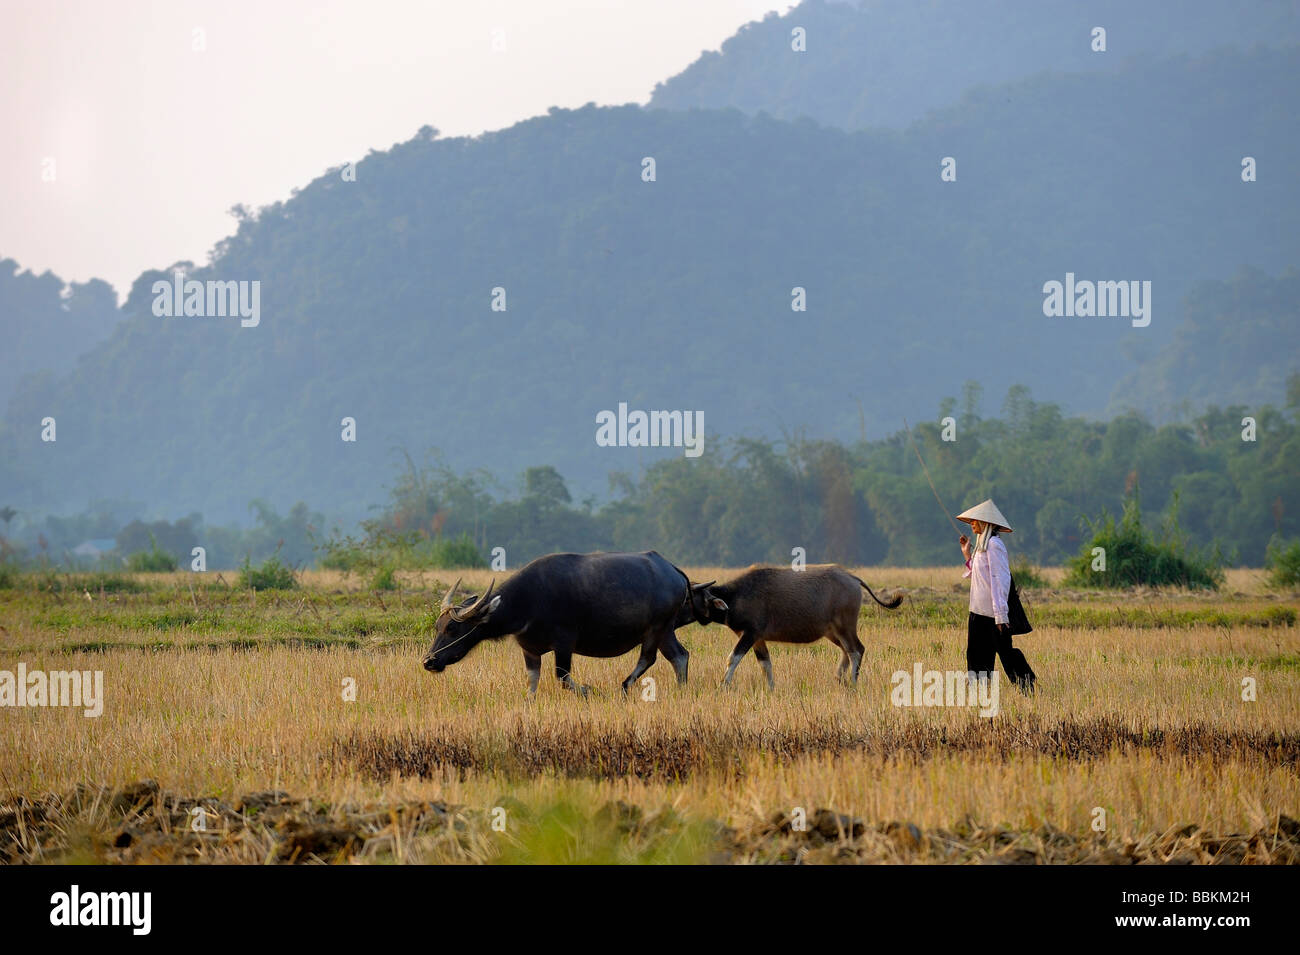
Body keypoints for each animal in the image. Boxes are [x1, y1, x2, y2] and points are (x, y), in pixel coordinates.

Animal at [421, 553, 707, 696]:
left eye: (453, 629)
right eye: (437, 627)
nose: (429, 661)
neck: (529, 600)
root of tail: (671, 570)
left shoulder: (564, 643)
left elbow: (562, 677)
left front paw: (590, 691)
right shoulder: (530, 650)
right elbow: (532, 682)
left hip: (656, 628)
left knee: (648, 658)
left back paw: (625, 686)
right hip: (666, 629)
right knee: (679, 656)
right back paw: (681, 690)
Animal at [681, 563, 904, 691]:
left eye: (689, 598)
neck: (737, 595)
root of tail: (852, 578)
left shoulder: (750, 634)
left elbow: (732, 658)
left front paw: (723, 685)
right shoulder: (758, 639)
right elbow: (765, 664)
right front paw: (770, 688)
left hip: (845, 627)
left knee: (856, 650)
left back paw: (853, 683)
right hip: (832, 632)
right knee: (847, 651)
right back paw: (839, 679)